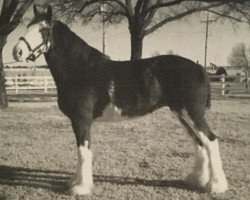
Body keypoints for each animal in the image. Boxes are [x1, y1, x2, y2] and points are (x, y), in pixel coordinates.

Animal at [12, 5, 228, 196]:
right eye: (28, 26)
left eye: (43, 30)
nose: (17, 52)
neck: (81, 69)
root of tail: (199, 69)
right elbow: (81, 151)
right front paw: (75, 182)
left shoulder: (81, 120)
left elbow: (83, 152)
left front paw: (81, 188)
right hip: (181, 113)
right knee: (198, 143)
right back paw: (196, 179)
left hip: (192, 113)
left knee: (210, 141)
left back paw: (216, 186)